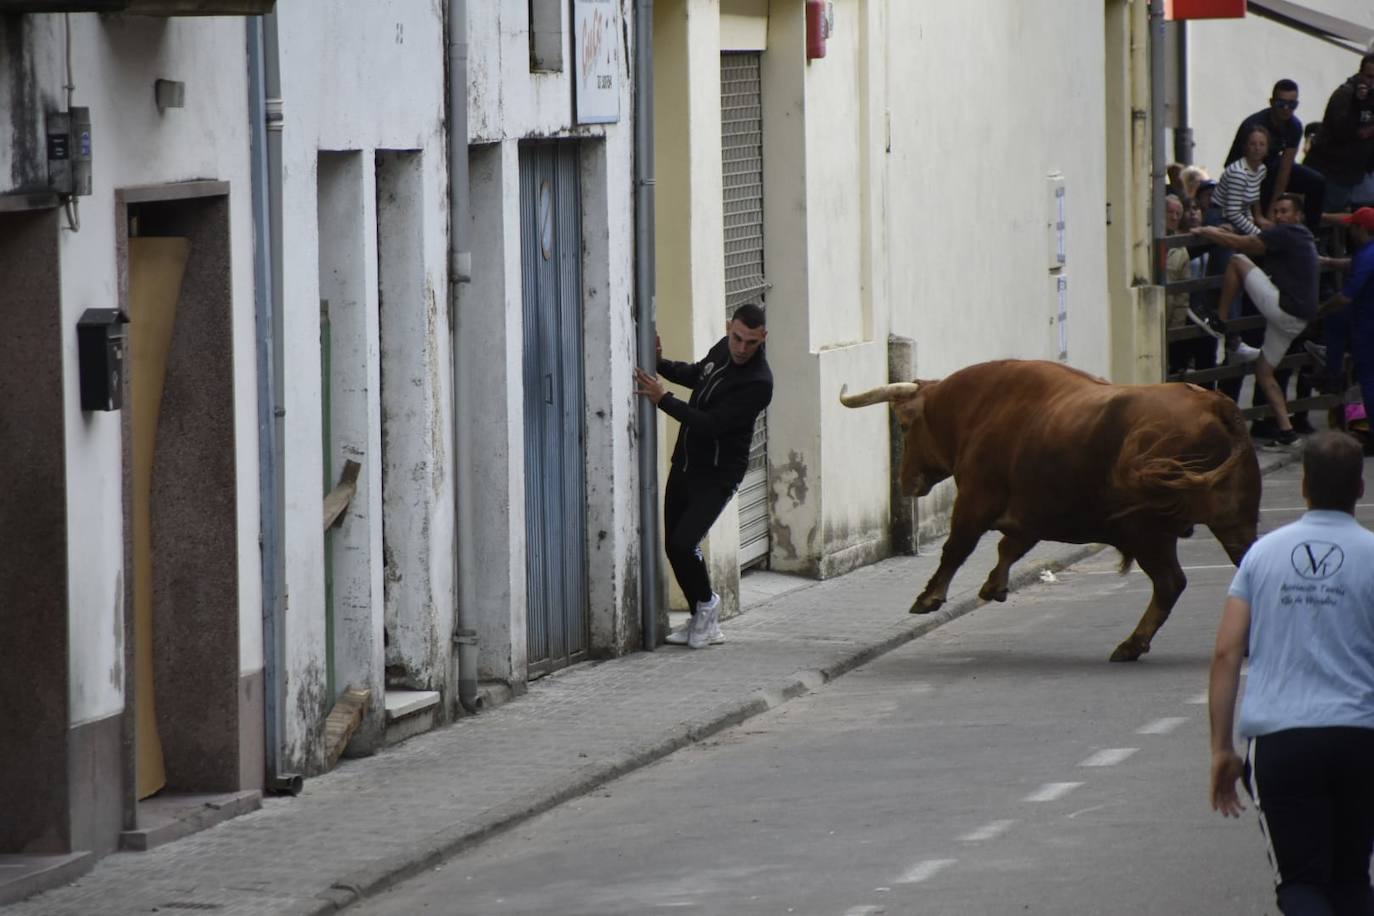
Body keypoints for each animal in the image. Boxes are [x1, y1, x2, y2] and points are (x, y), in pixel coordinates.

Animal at [835, 357, 1258, 659]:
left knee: (1170, 583)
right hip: (1231, 522)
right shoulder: (1031, 514)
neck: (980, 408)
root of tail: (1214, 402)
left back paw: (1132, 645)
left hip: (1149, 531)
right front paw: (994, 586)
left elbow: (957, 547)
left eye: (906, 428)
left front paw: (929, 598)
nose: (905, 482)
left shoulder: (974, 499)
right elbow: (1009, 547)